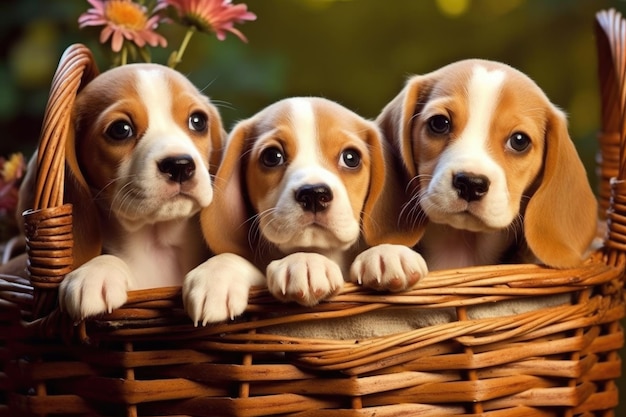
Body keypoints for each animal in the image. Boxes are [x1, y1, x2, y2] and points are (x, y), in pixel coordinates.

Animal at [42, 64, 225, 318]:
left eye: (198, 121)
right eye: (121, 129)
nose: (179, 165)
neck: (157, 245)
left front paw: (216, 278)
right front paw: (94, 272)